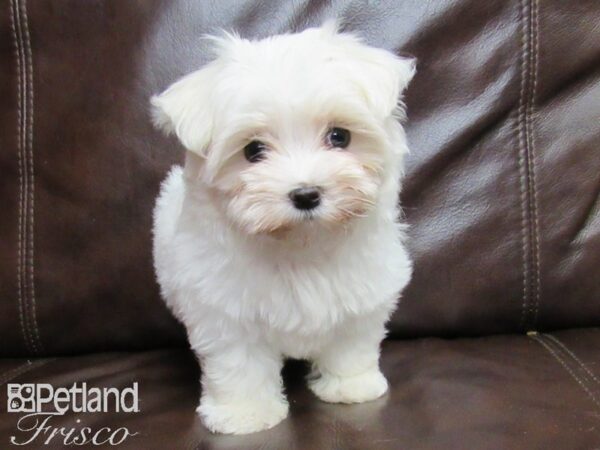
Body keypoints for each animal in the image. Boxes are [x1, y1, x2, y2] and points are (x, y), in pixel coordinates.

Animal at [151, 22, 412, 434]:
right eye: (253, 150)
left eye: (339, 136)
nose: (306, 194)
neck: (300, 244)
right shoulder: (226, 313)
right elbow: (238, 363)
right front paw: (245, 413)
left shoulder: (362, 292)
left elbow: (351, 342)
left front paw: (352, 385)